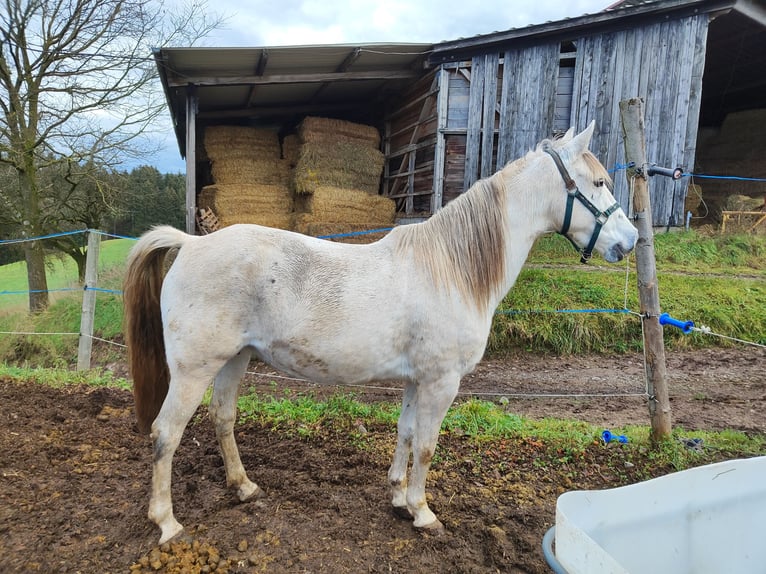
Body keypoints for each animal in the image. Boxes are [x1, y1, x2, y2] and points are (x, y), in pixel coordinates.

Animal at [123, 121, 640, 544]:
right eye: (598, 182)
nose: (631, 240)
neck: (452, 269)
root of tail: (192, 243)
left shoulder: (417, 380)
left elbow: (406, 434)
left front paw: (397, 498)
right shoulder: (441, 382)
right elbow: (427, 446)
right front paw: (424, 513)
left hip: (235, 358)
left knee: (223, 419)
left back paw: (244, 487)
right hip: (194, 370)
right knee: (165, 433)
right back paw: (166, 522)